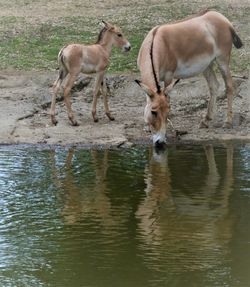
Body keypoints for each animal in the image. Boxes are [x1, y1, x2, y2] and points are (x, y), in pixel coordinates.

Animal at [136, 10, 243, 146]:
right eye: (153, 112)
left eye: (167, 111)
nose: (160, 142)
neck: (156, 44)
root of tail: (221, 16)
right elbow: (148, 100)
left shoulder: (169, 76)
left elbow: (168, 98)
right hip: (207, 64)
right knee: (214, 85)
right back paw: (206, 120)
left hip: (222, 59)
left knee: (229, 85)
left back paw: (228, 121)